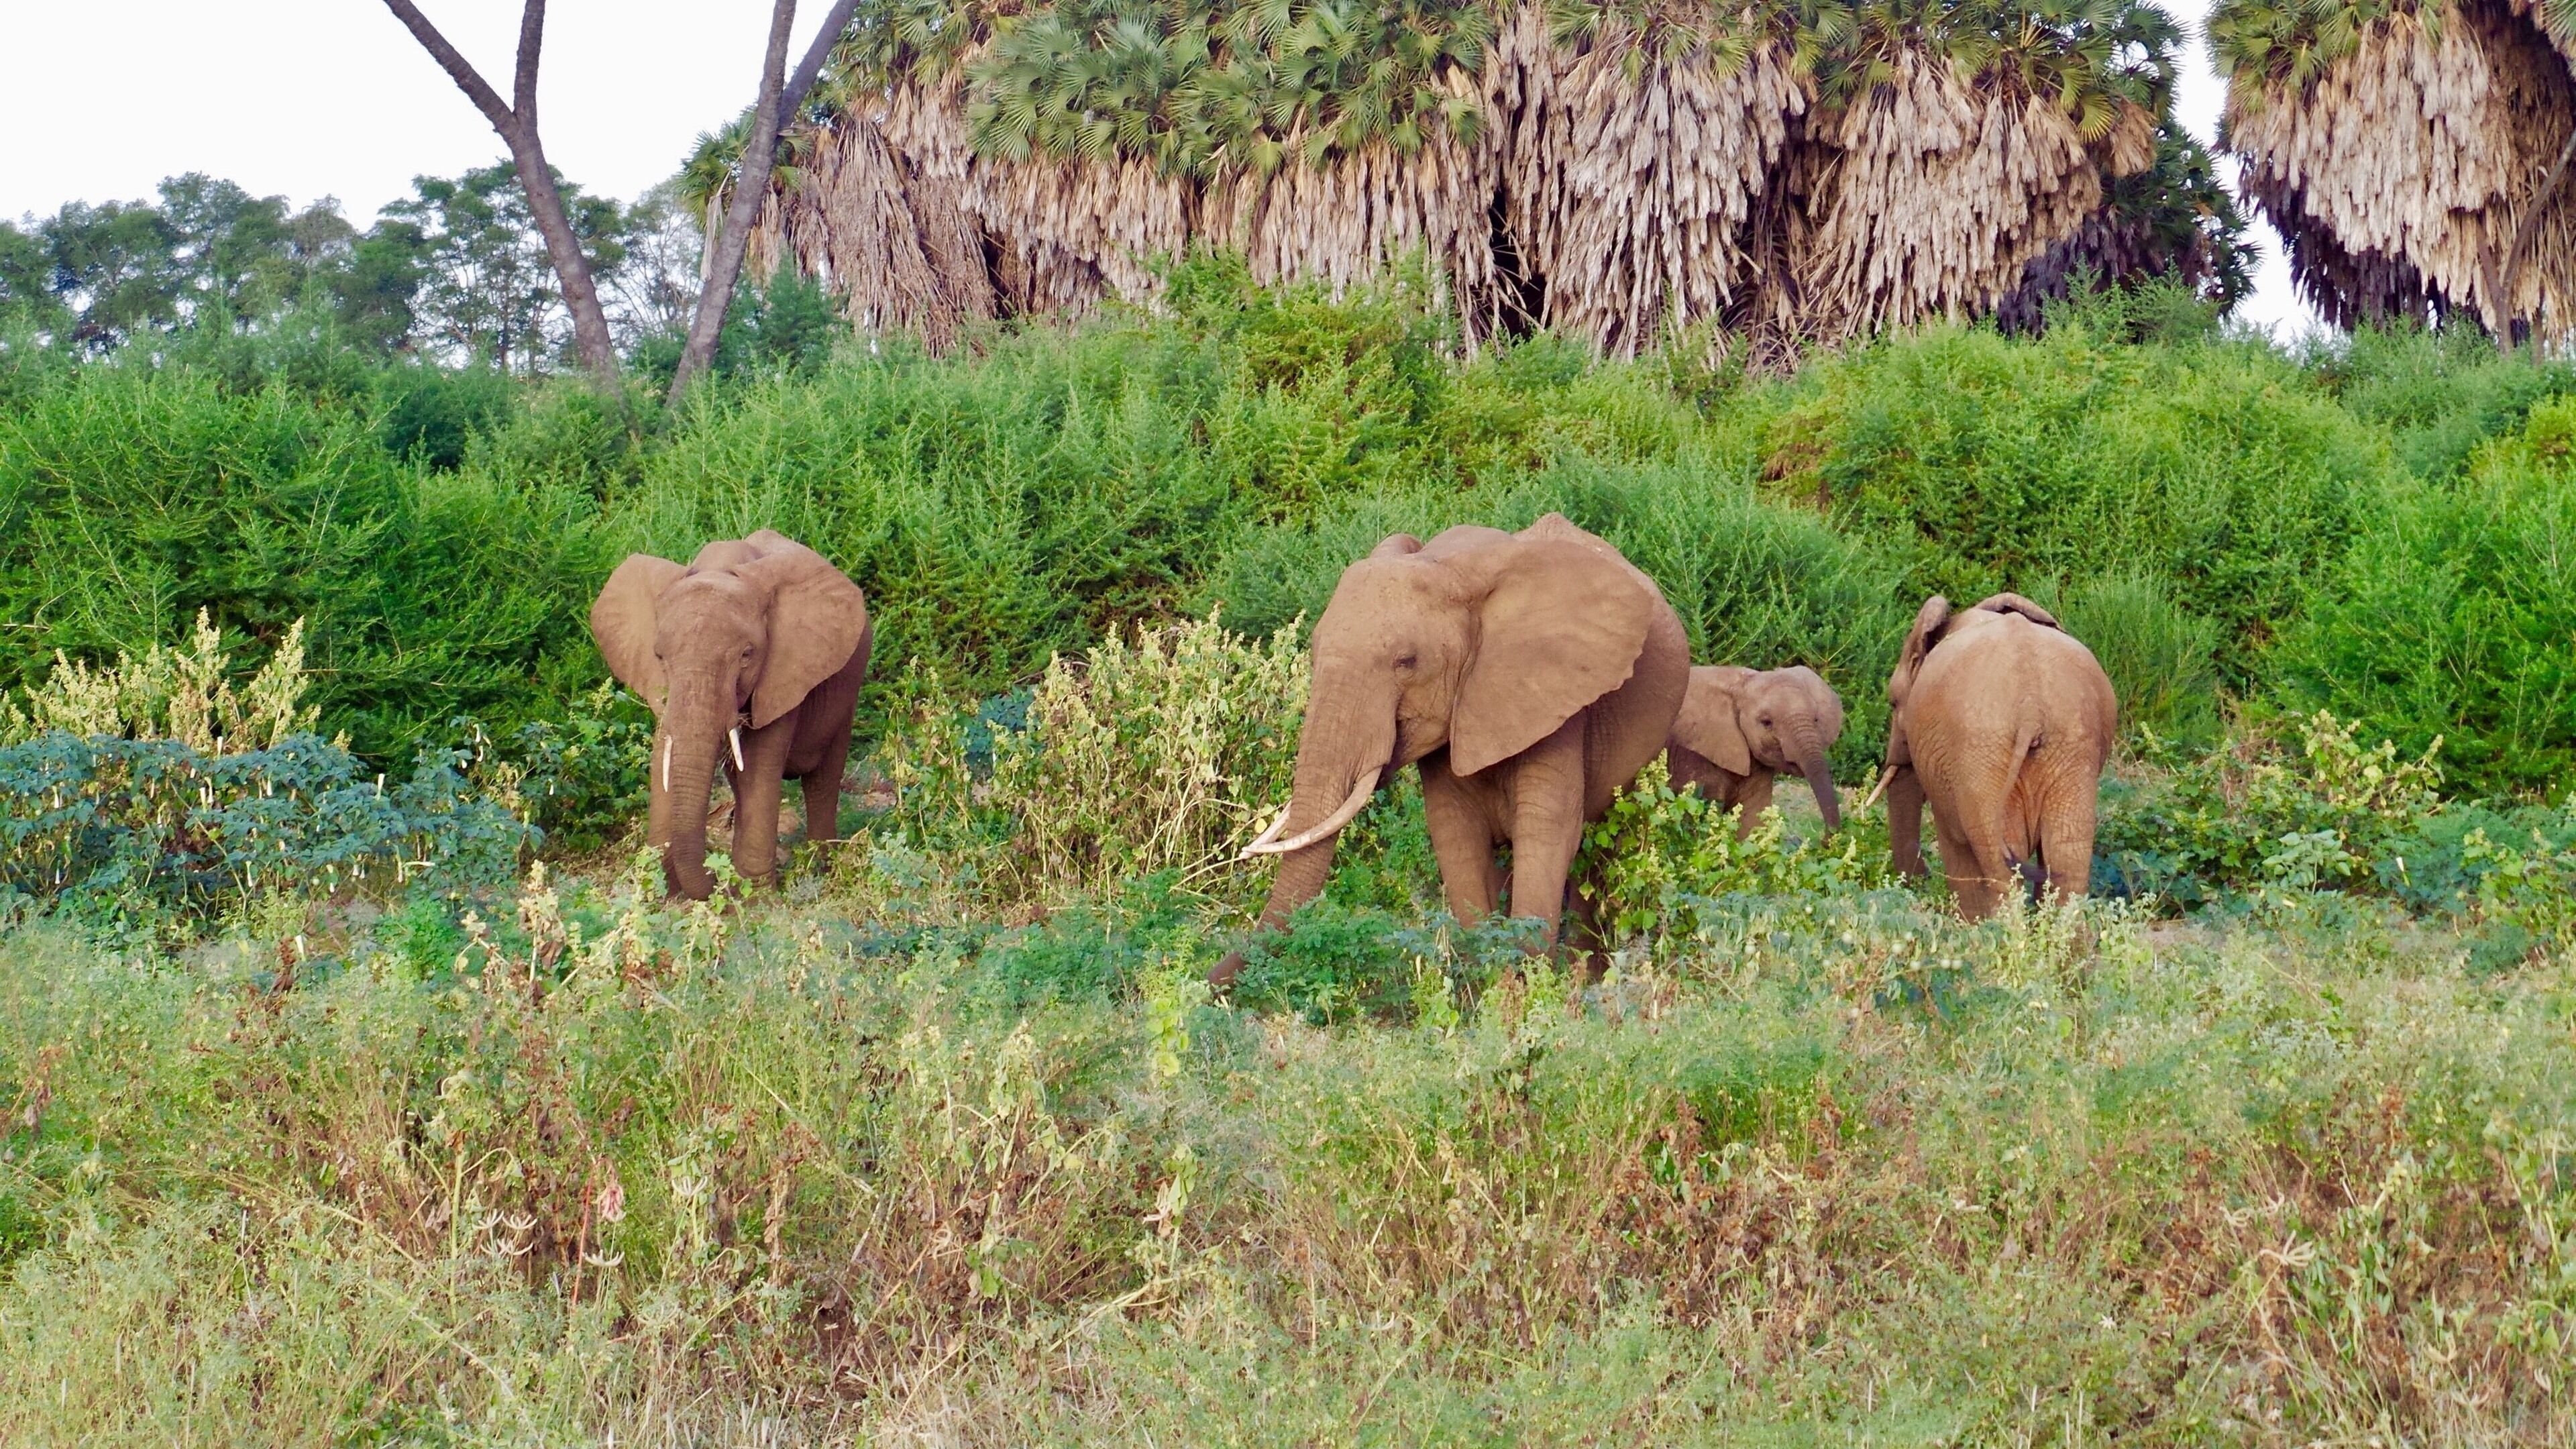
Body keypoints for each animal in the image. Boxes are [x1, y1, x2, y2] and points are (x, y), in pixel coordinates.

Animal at [590, 529, 873, 900]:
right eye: (659, 656)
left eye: (747, 655)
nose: (714, 876)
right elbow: (663, 753)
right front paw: (661, 889)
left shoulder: (784, 672)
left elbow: (759, 766)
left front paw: (753, 896)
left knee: (823, 779)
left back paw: (821, 866)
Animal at [1210, 513, 1689, 987]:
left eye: (1406, 662)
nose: (1209, 985)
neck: (1455, 571)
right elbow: (1456, 835)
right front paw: (1490, 989)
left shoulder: (1560, 702)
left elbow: (1547, 834)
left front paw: (1530, 992)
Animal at [1879, 593, 2116, 919]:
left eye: (1893, 703)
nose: (1921, 879)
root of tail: (2030, 707)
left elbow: (1954, 843)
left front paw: (1969, 923)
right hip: (2070, 745)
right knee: (2067, 854)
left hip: (1982, 751)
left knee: (2000, 860)